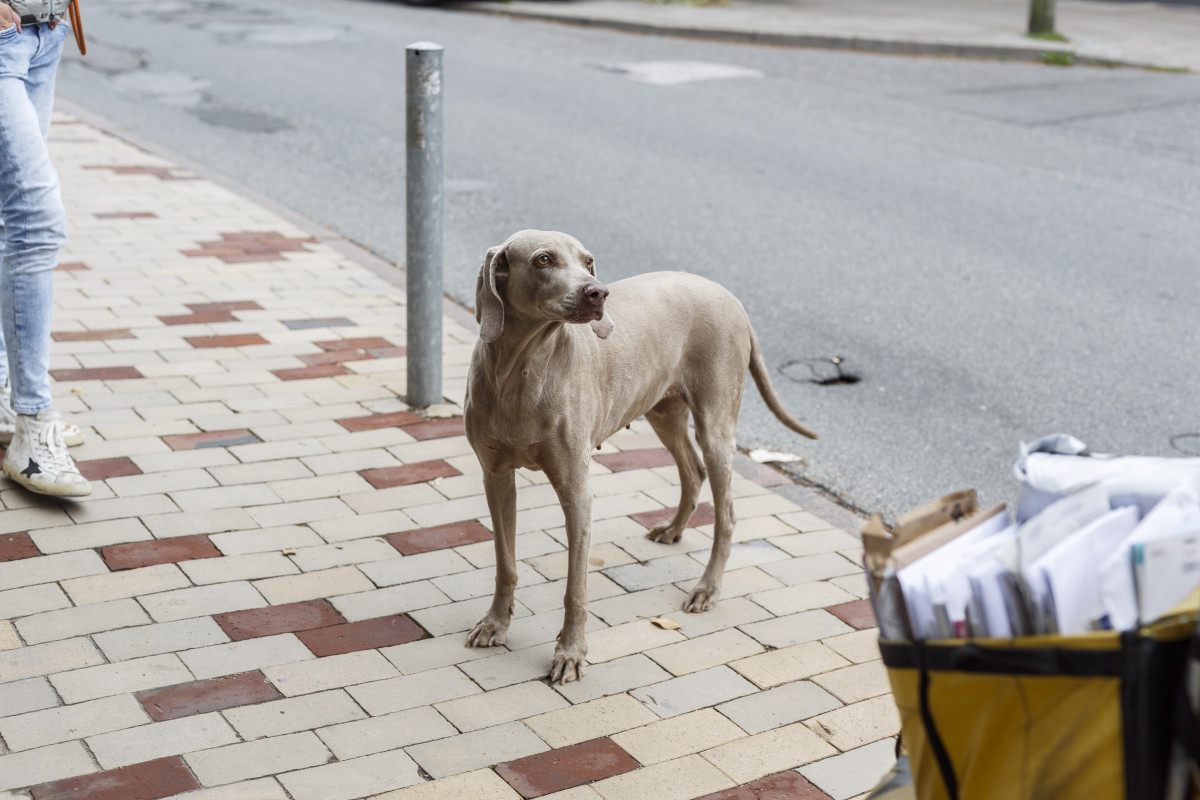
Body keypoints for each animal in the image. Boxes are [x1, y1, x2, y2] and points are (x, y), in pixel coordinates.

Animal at [458, 230, 816, 681]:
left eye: (588, 261)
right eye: (543, 260)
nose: (597, 292)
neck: (522, 370)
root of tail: (728, 295)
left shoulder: (576, 491)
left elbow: (575, 589)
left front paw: (570, 653)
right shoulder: (496, 477)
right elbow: (505, 563)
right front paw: (495, 624)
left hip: (716, 422)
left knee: (727, 514)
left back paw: (707, 589)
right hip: (664, 409)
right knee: (693, 471)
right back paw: (674, 529)